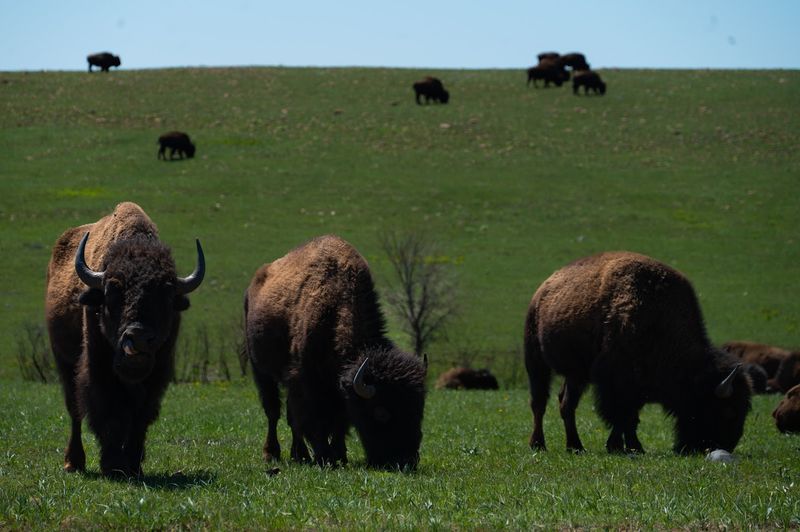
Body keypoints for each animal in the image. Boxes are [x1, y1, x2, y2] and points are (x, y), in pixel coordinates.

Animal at [45, 202, 204, 476]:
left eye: (166, 293)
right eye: (112, 290)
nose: (138, 337)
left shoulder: (156, 375)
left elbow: (140, 416)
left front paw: (132, 464)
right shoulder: (99, 369)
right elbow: (110, 412)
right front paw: (112, 464)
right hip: (63, 362)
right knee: (74, 408)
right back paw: (73, 462)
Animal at [244, 235, 427, 469]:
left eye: (419, 410)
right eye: (381, 413)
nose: (405, 461)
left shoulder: (340, 389)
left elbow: (339, 421)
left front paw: (339, 456)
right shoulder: (305, 381)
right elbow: (313, 419)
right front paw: (324, 456)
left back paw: (300, 455)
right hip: (261, 371)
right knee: (274, 412)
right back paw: (274, 454)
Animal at [524, 251, 752, 455]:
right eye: (728, 411)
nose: (727, 446)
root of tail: (541, 291)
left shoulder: (636, 386)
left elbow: (630, 416)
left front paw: (625, 446)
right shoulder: (615, 382)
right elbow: (622, 415)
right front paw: (627, 446)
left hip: (576, 374)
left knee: (566, 404)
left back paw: (575, 447)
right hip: (536, 362)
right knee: (539, 403)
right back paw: (538, 444)